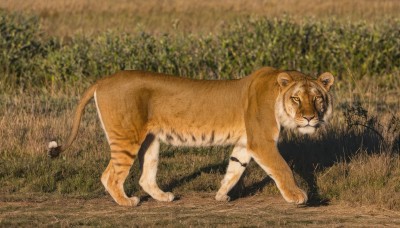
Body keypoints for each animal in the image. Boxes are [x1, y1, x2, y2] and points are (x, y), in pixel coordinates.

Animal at [47, 67, 334, 206]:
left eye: (317, 98)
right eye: (296, 99)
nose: (310, 118)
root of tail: (103, 80)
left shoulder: (246, 142)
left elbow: (234, 169)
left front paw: (221, 196)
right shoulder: (261, 141)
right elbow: (282, 168)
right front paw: (298, 197)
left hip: (151, 140)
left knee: (145, 177)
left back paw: (164, 197)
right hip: (126, 137)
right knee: (110, 175)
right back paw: (128, 203)